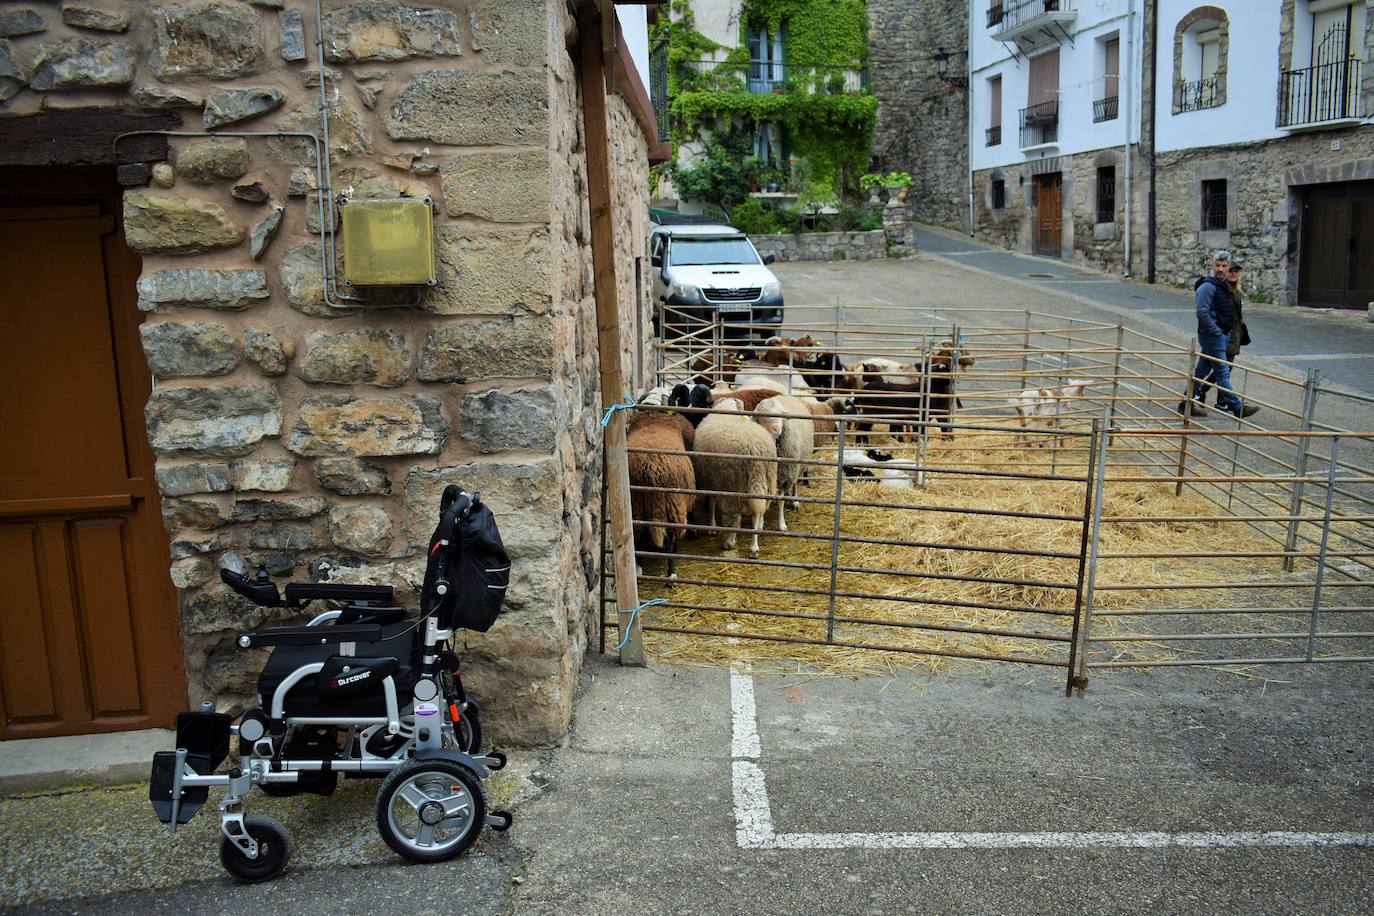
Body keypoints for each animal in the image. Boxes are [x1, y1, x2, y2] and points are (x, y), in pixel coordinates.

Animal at [692, 395, 780, 554]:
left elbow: (712, 502)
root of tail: (755, 449)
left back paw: (731, 542)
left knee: (737, 518)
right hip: (766, 479)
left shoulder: (711, 479)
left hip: (736, 484)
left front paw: (712, 526)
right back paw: (755, 542)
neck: (726, 408)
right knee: (758, 510)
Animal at [752, 395, 813, 530]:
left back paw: (794, 500)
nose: (777, 429)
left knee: (795, 483)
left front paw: (782, 524)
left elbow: (781, 501)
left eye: (781, 414)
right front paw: (761, 523)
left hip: (797, 466)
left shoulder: (785, 476)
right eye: (764, 415)